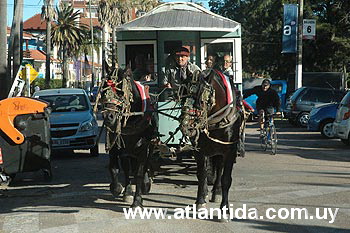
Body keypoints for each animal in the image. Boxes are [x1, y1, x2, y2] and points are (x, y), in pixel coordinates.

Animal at [100, 67, 154, 208]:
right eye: (103, 90)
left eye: (121, 92)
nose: (108, 117)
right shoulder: (116, 146)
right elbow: (114, 168)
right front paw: (117, 188)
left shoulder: (143, 147)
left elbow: (139, 173)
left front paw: (137, 200)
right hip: (127, 150)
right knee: (127, 168)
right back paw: (128, 191)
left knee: (144, 166)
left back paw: (145, 184)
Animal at [179, 68, 242, 221]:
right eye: (183, 95)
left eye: (201, 99)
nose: (186, 125)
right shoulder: (199, 150)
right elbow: (201, 174)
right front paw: (200, 201)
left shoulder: (230, 150)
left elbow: (226, 179)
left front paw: (225, 210)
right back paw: (206, 192)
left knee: (219, 169)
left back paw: (216, 192)